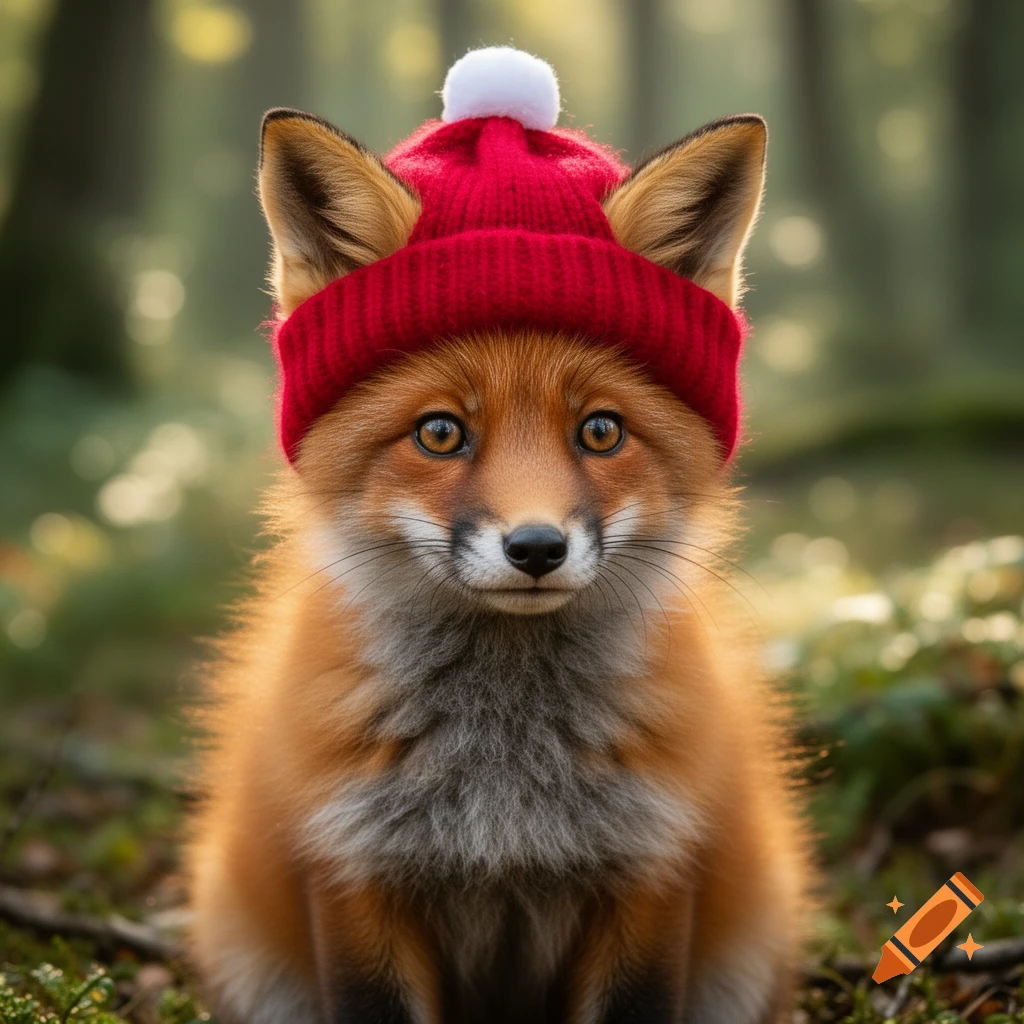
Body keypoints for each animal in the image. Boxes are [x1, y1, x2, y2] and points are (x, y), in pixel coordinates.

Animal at [186, 49, 811, 1024]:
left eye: (601, 431)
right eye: (441, 432)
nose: (537, 549)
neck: (504, 774)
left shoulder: (651, 870)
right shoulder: (353, 873)